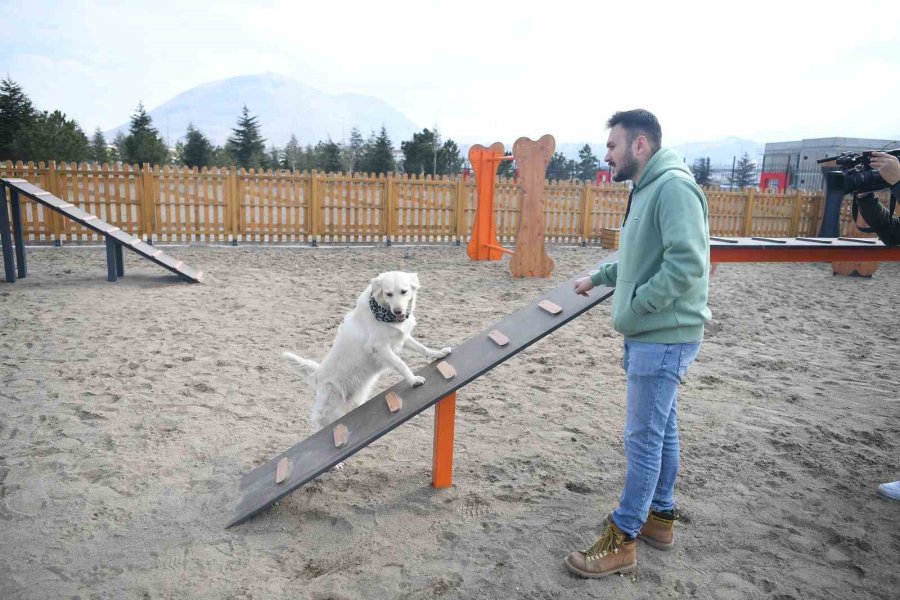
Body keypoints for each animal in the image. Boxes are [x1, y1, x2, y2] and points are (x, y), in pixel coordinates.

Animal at [284, 272, 450, 432]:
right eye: (389, 294)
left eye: (404, 291)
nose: (398, 311)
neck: (384, 314)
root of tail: (318, 374)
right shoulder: (379, 347)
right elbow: (400, 363)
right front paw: (413, 380)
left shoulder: (402, 338)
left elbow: (422, 348)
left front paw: (439, 353)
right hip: (332, 409)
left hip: (355, 401)